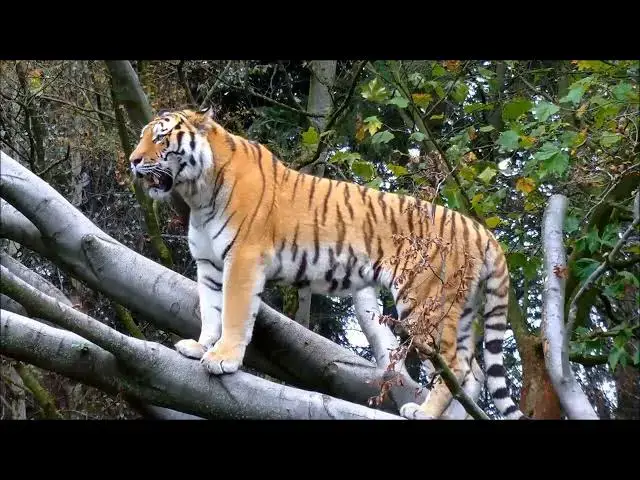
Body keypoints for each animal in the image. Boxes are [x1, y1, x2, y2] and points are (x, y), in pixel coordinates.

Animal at [128, 106, 527, 420]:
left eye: (161, 138)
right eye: (143, 136)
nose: (133, 160)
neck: (197, 193)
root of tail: (480, 229)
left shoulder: (242, 259)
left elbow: (234, 313)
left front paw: (222, 358)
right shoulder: (209, 265)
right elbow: (210, 310)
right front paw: (200, 347)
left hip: (426, 303)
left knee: (456, 366)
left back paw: (425, 412)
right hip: (459, 310)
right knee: (473, 373)